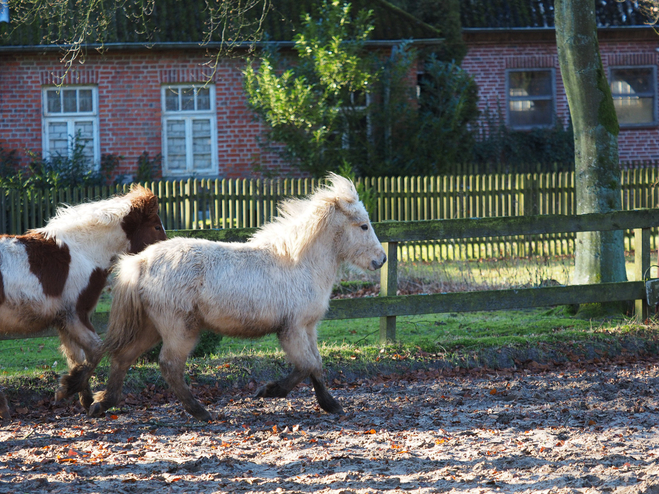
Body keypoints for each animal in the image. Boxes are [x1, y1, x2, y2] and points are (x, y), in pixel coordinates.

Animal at [0, 186, 168, 420]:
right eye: (156, 226)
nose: (163, 255)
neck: (83, 252)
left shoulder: (64, 321)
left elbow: (77, 358)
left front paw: (85, 399)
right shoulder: (75, 315)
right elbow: (96, 350)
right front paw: (67, 390)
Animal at [65, 174, 386, 420]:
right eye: (363, 226)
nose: (381, 260)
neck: (299, 263)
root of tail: (139, 263)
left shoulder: (308, 327)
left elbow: (316, 365)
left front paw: (329, 404)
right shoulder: (292, 329)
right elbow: (306, 365)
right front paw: (269, 391)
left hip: (150, 327)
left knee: (123, 357)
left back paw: (101, 404)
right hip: (179, 330)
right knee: (169, 365)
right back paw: (200, 411)